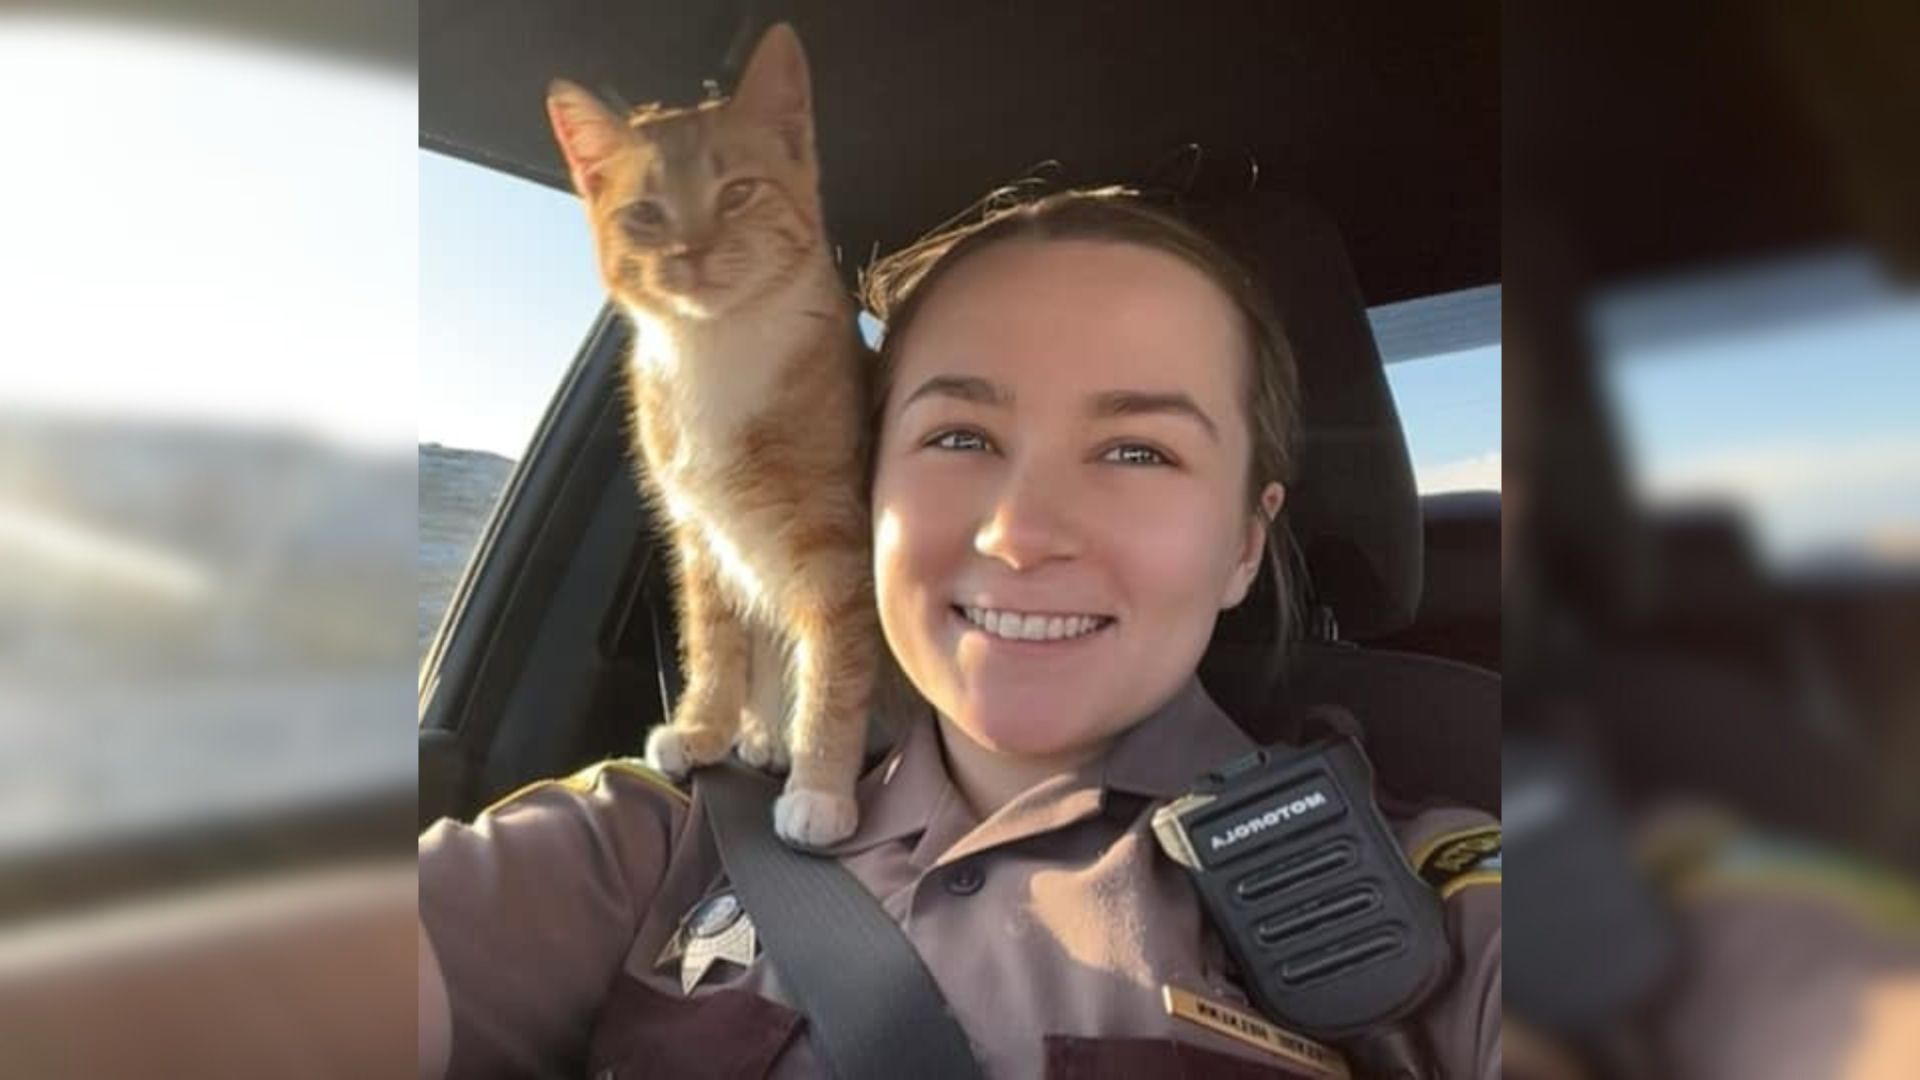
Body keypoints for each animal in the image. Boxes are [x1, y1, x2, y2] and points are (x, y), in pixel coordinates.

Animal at [541, 23, 871, 841]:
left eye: (739, 192)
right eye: (646, 213)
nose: (689, 254)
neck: (713, 349)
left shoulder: (839, 551)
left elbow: (835, 663)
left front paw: (820, 784)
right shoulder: (701, 536)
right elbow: (714, 643)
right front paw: (704, 729)